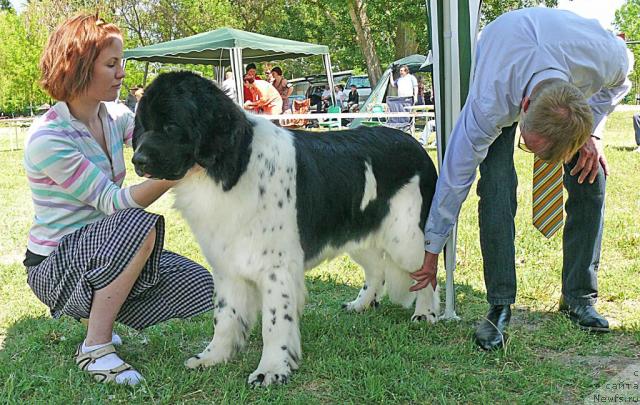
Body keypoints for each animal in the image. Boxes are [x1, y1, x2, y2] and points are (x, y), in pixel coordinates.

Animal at [130, 71, 440, 386]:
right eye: (144, 125)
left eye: (171, 126)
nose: (137, 160)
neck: (232, 165)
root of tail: (417, 147)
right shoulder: (228, 263)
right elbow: (225, 315)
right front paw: (213, 357)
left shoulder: (276, 268)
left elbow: (275, 321)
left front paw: (271, 370)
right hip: (358, 233)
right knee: (377, 270)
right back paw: (362, 304)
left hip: (405, 237)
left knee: (426, 272)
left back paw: (425, 314)